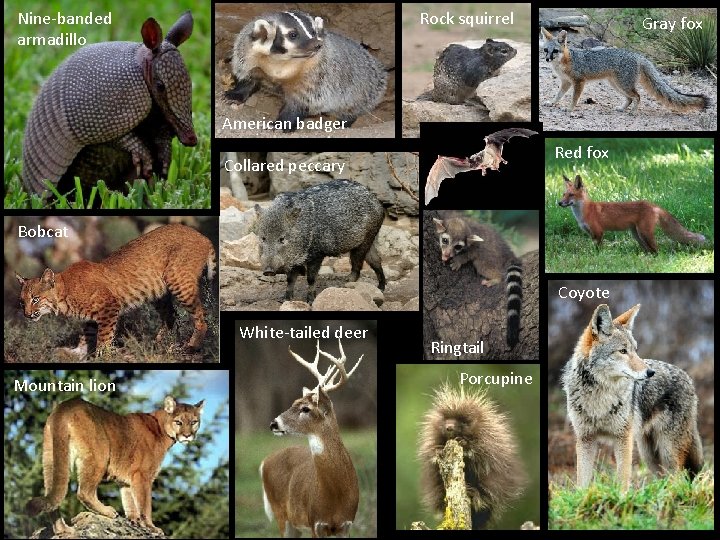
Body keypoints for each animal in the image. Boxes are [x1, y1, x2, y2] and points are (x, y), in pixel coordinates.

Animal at [225, 10, 387, 132]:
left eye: (313, 32)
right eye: (293, 34)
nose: (317, 44)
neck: (280, 63)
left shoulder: (316, 72)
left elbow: (302, 99)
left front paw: (281, 124)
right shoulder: (249, 54)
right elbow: (248, 77)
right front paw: (233, 95)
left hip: (360, 92)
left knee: (351, 108)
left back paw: (342, 122)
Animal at [433, 216, 522, 347]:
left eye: (458, 247)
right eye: (445, 241)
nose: (447, 254)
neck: (465, 223)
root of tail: (508, 253)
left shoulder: (474, 247)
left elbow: (468, 255)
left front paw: (458, 260)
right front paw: (444, 255)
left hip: (489, 257)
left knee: (482, 265)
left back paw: (495, 278)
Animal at [541, 28, 709, 113]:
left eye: (555, 51)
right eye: (545, 50)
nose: (547, 59)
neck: (563, 63)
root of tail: (638, 55)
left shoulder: (579, 82)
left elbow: (574, 98)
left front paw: (570, 109)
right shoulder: (566, 82)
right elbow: (558, 95)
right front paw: (552, 103)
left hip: (623, 85)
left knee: (638, 96)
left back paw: (633, 112)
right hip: (616, 84)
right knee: (630, 98)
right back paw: (622, 108)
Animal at [558, 174, 705, 253]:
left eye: (571, 195)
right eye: (564, 194)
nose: (559, 203)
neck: (585, 212)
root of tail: (652, 204)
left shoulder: (598, 232)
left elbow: (598, 249)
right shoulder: (591, 233)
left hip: (644, 233)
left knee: (656, 250)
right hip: (637, 235)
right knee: (649, 250)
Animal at [562, 303, 703, 491]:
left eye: (635, 350)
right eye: (622, 351)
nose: (650, 372)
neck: (599, 397)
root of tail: (687, 377)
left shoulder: (623, 438)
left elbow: (623, 479)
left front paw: (621, 498)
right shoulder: (585, 439)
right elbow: (582, 484)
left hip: (667, 451)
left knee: (679, 479)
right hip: (649, 455)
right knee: (666, 478)